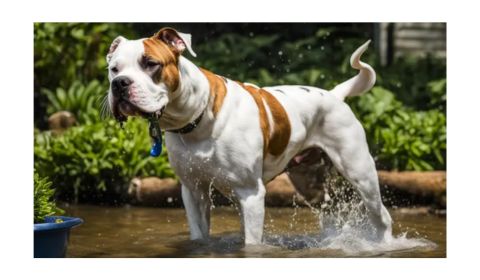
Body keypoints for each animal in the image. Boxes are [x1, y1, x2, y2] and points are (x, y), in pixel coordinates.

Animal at [107, 27, 392, 244]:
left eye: (150, 64)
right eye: (113, 68)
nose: (119, 83)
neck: (198, 117)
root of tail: (334, 94)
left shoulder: (251, 194)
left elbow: (252, 243)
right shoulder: (193, 190)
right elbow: (199, 236)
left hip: (360, 172)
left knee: (382, 217)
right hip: (310, 184)